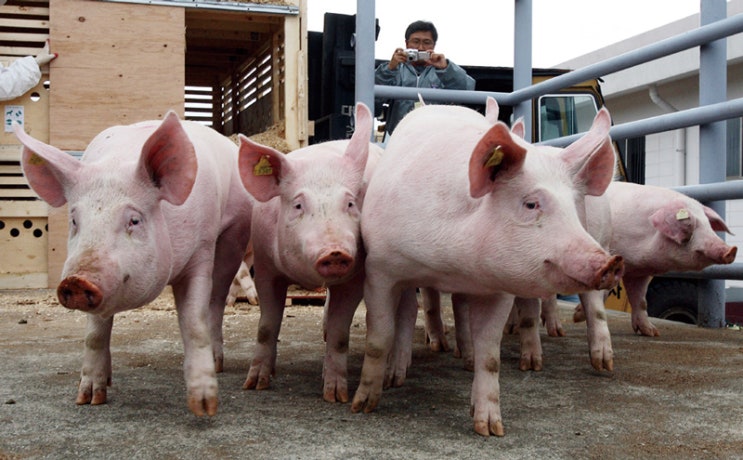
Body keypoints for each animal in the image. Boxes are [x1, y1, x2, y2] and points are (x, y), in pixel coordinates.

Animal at [14, 112, 253, 417]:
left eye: (134, 220)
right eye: (75, 220)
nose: (76, 281)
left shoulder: (202, 249)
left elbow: (194, 323)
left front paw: (204, 407)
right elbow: (94, 333)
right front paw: (88, 399)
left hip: (234, 234)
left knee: (217, 299)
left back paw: (218, 362)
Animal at [236, 102, 382, 403]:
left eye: (350, 203)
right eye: (298, 205)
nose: (334, 251)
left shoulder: (355, 276)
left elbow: (340, 334)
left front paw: (336, 396)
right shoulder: (266, 268)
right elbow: (266, 326)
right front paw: (255, 385)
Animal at [351, 98, 623, 436]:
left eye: (574, 206)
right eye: (531, 204)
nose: (610, 263)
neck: (450, 262)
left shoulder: (499, 287)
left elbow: (490, 354)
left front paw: (490, 429)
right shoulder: (381, 268)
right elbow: (379, 337)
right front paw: (362, 406)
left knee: (590, 306)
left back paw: (600, 364)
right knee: (414, 312)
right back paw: (400, 374)